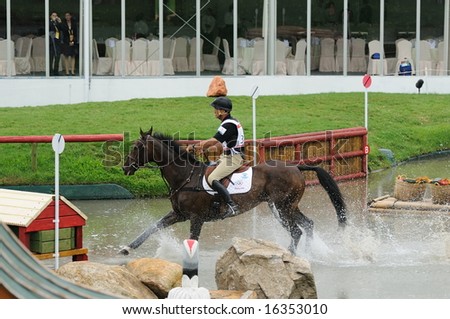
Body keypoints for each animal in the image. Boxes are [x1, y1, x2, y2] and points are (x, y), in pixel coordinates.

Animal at [119, 129, 348, 256]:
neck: (185, 176)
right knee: (307, 225)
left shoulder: (196, 218)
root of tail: (296, 167)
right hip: (288, 206)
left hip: (282, 207)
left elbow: (193, 239)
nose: (125, 168)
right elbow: (152, 228)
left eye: (137, 147)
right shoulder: (178, 214)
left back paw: (290, 255)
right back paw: (308, 253)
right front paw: (127, 248)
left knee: (297, 231)